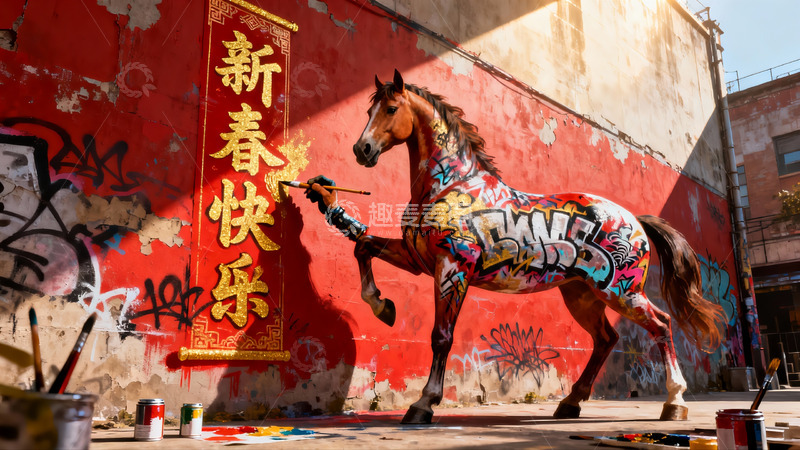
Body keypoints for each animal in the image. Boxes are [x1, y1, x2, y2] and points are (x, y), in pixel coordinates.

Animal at [323, 69, 725, 424]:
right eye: (368, 111)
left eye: (391, 109)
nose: (362, 149)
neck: (452, 186)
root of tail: (635, 220)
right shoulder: (417, 258)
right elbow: (362, 248)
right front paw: (382, 306)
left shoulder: (453, 268)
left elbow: (441, 337)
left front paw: (423, 404)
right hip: (582, 295)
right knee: (606, 339)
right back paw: (571, 402)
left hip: (622, 292)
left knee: (661, 325)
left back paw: (674, 402)